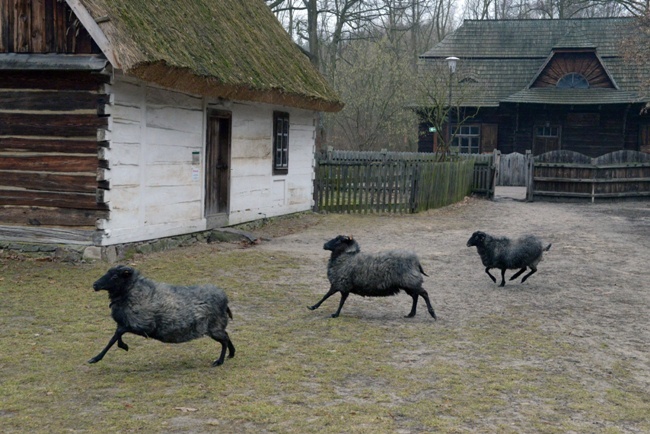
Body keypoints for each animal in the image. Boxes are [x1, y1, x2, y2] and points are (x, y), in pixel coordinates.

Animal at [88, 266, 235, 364]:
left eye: (114, 277)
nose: (95, 285)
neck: (132, 292)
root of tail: (224, 300)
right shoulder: (126, 323)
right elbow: (115, 337)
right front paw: (98, 357)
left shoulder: (142, 325)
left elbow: (116, 336)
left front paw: (118, 349)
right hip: (217, 326)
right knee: (227, 336)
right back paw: (231, 354)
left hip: (214, 326)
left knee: (224, 340)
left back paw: (220, 361)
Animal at [308, 237, 436, 318]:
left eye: (338, 239)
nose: (324, 245)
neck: (344, 257)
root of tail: (416, 261)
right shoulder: (342, 286)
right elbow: (332, 297)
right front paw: (315, 307)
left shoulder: (341, 283)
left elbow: (330, 297)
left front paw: (330, 312)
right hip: (408, 284)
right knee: (415, 296)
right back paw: (411, 314)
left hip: (411, 281)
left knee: (424, 294)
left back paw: (432, 313)